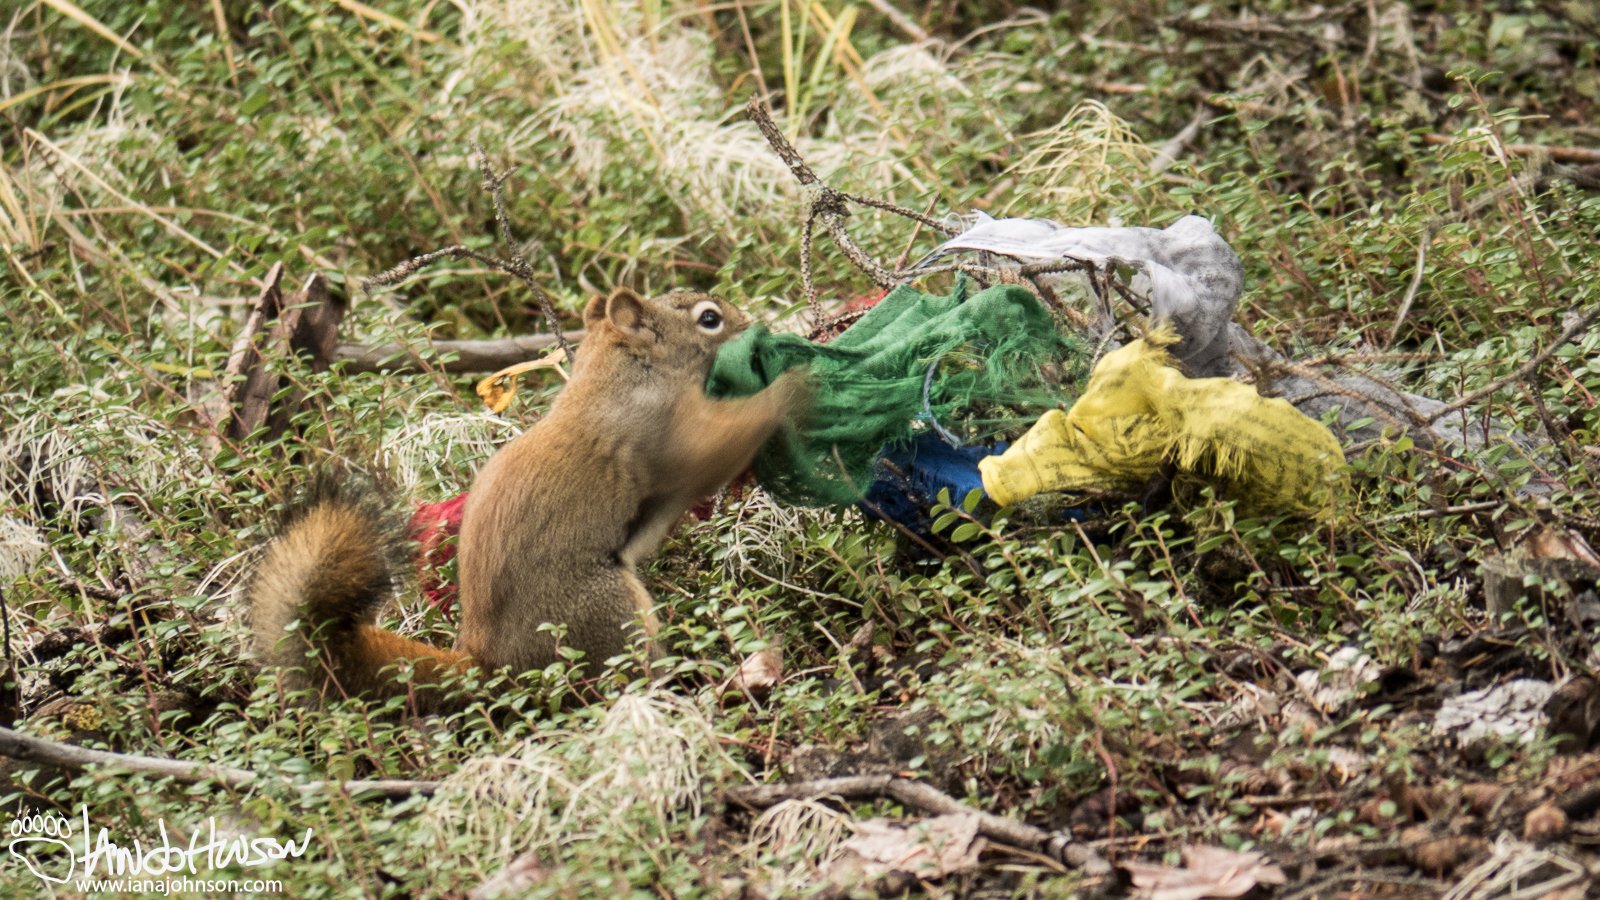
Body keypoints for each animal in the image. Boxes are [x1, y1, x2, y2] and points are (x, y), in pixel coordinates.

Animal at [248, 288, 807, 706]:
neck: (623, 371)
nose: (752, 324)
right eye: (709, 319)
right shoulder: (664, 431)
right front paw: (793, 387)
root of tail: (492, 666)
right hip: (607, 613)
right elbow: (722, 441)